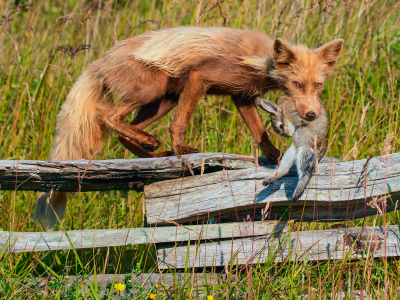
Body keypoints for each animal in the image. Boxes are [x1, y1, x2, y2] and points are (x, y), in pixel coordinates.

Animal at [32, 26, 342, 230]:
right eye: (296, 84)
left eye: (318, 85)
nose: (312, 114)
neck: (258, 61)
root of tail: (101, 60)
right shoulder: (200, 78)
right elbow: (181, 123)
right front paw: (182, 149)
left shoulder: (241, 97)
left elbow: (259, 133)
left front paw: (273, 156)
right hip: (156, 90)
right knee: (110, 118)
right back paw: (156, 146)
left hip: (164, 99)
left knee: (124, 133)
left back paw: (153, 151)